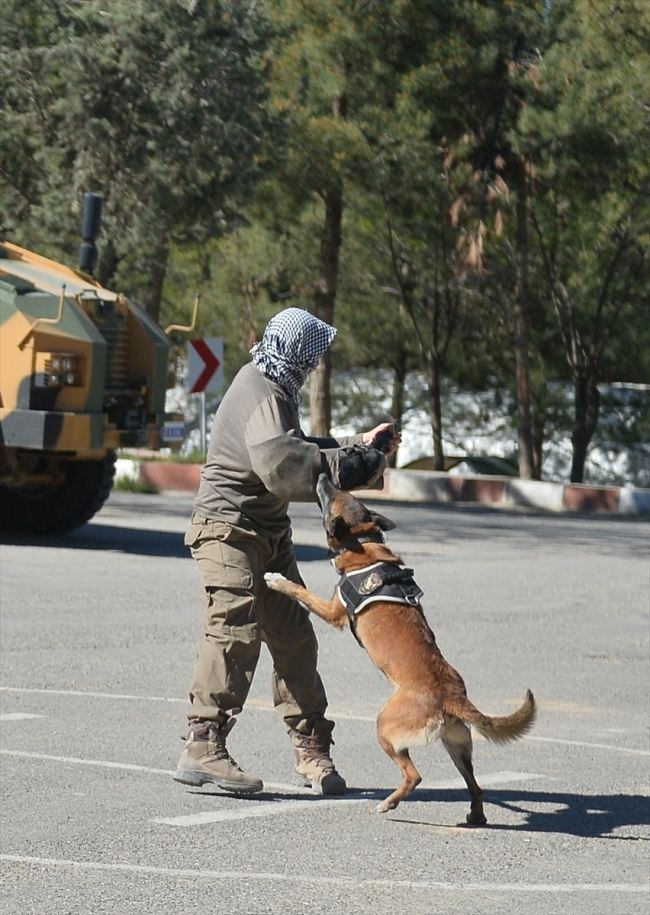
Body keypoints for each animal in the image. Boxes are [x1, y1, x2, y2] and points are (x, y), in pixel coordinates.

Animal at [264, 472, 536, 824]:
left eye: (332, 495)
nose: (324, 475)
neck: (363, 542)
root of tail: (452, 696)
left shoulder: (333, 611)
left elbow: (299, 590)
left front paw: (276, 579)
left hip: (385, 728)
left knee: (414, 776)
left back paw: (389, 803)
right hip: (457, 747)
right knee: (475, 786)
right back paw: (475, 816)